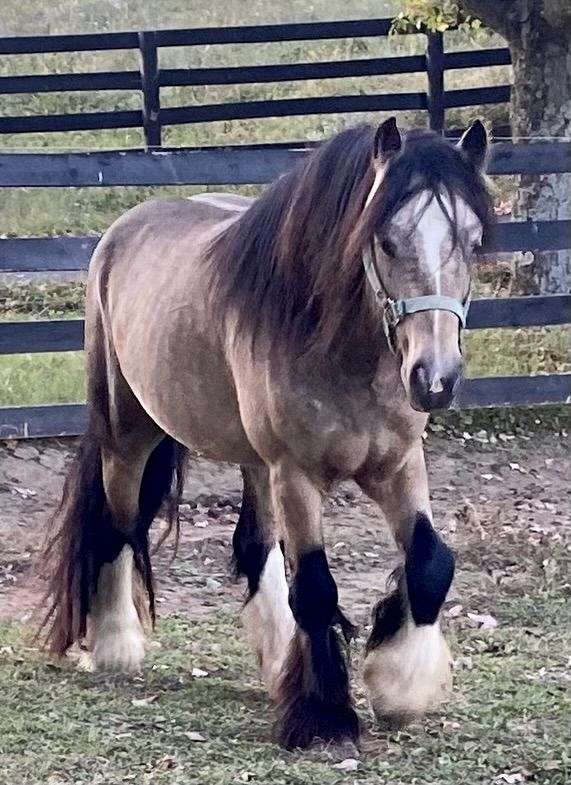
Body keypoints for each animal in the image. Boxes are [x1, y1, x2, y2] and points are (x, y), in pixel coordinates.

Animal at [42, 116, 494, 748]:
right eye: (386, 240)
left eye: (473, 242)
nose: (435, 379)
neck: (343, 350)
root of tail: (123, 229)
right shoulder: (297, 474)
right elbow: (317, 588)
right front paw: (325, 716)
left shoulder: (398, 463)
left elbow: (431, 562)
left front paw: (400, 685)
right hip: (129, 436)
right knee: (118, 525)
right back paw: (115, 647)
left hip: (254, 461)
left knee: (255, 546)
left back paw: (281, 664)